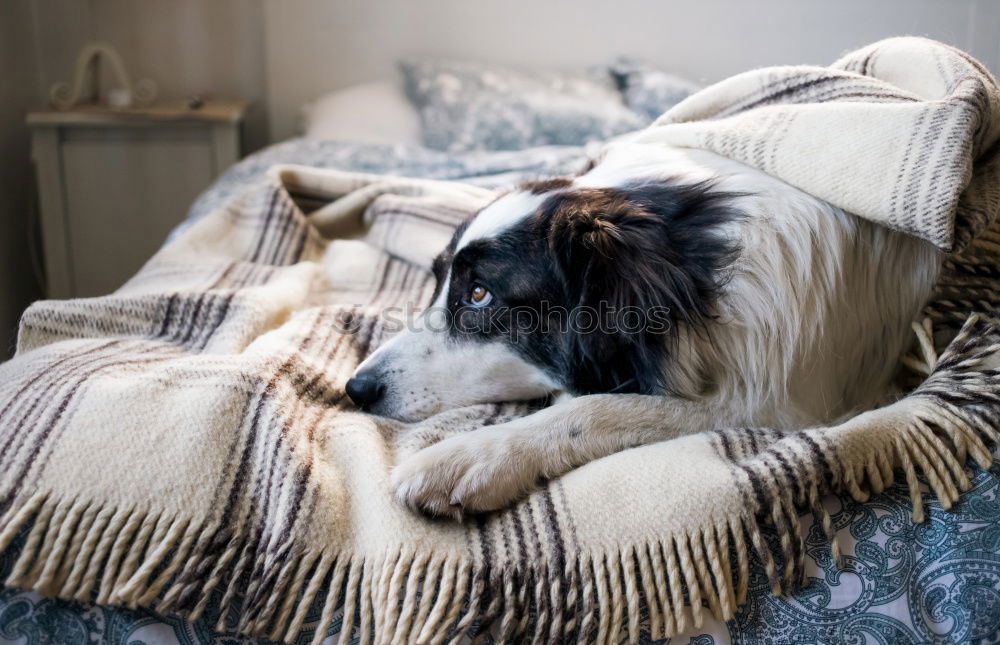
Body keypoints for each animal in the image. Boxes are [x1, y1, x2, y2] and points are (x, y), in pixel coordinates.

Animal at [348, 142, 940, 520]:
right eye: (440, 282)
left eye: (478, 295)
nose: (356, 388)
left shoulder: (779, 402)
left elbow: (595, 409)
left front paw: (473, 457)